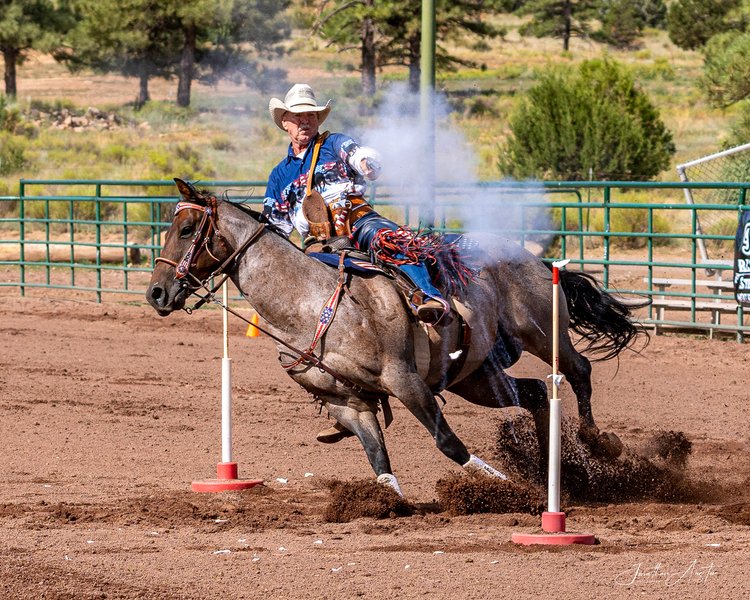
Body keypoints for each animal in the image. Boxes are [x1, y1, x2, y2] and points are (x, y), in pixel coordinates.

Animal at [148, 179, 652, 496]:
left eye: (188, 229)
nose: (156, 292)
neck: (311, 304)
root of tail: (533, 258)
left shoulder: (404, 380)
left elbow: (448, 444)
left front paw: (499, 486)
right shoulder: (348, 401)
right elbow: (379, 459)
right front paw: (387, 500)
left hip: (543, 335)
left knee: (579, 371)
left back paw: (596, 443)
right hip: (474, 378)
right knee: (531, 395)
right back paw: (554, 469)